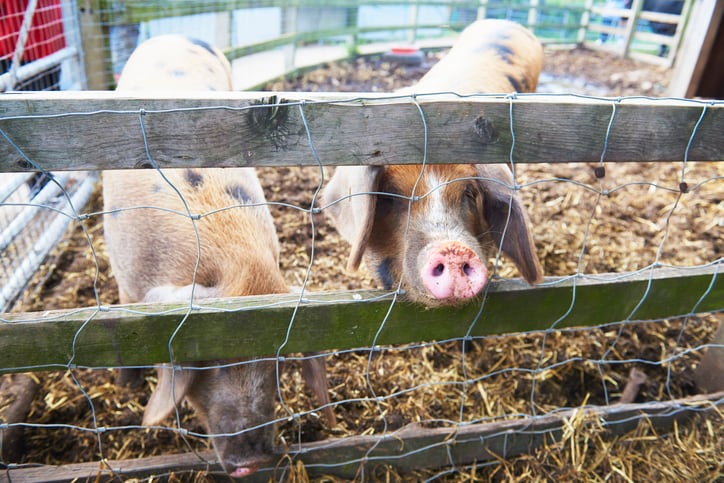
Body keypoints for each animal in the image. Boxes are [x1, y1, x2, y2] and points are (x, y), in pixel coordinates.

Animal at [103, 35, 333, 477]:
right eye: (210, 356)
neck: (233, 258)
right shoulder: (127, 281)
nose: (254, 460)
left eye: (278, 359)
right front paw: (126, 389)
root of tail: (175, 36)